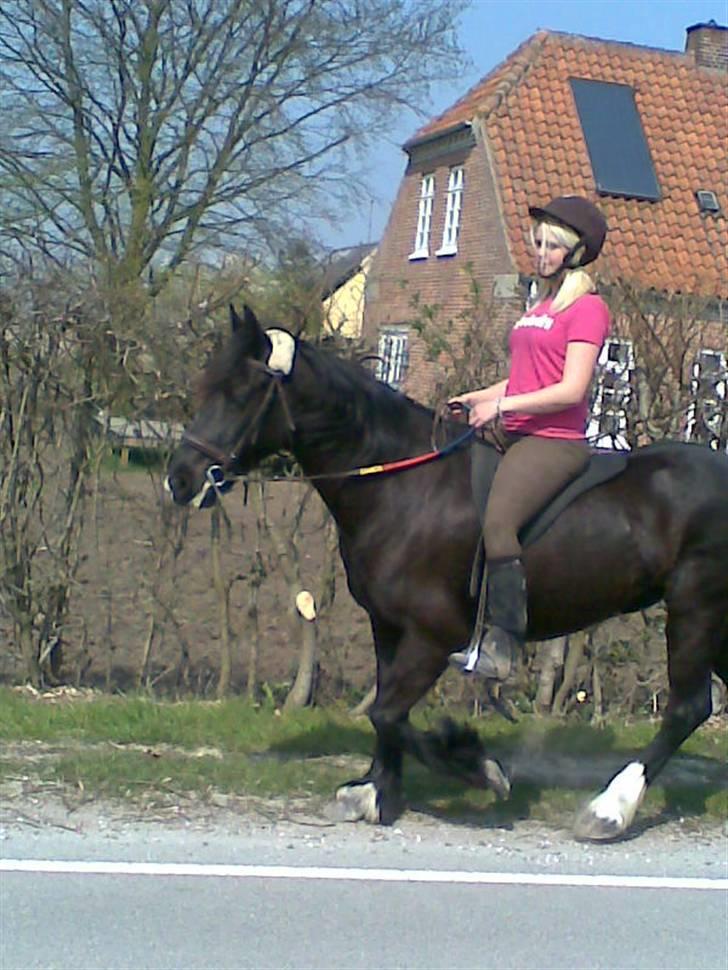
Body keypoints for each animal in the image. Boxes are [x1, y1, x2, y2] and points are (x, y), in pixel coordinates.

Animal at [166, 305, 728, 841]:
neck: (405, 486)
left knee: (687, 708)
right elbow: (385, 710)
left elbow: (387, 713)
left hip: (695, 605)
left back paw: (608, 810)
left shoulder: (433, 634)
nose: (181, 479)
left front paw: (476, 766)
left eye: (242, 393)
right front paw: (377, 791)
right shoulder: (388, 625)